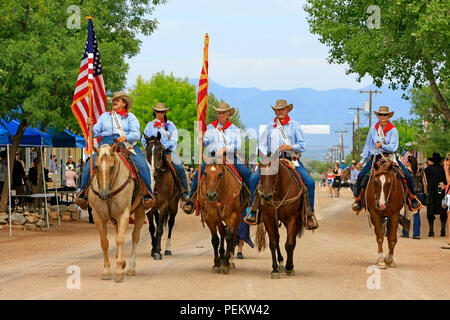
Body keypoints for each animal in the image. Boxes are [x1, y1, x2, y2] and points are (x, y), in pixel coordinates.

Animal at [89, 144, 148, 282]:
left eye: (112, 167)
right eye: (96, 167)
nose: (103, 194)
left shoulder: (124, 214)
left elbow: (120, 240)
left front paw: (118, 272)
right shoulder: (97, 216)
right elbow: (104, 242)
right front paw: (106, 271)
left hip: (140, 211)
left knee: (135, 237)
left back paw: (130, 267)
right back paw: (122, 262)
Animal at [144, 132, 179, 260]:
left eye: (160, 150)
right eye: (148, 150)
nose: (153, 169)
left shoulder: (164, 206)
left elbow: (159, 229)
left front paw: (157, 252)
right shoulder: (149, 207)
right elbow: (152, 228)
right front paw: (154, 249)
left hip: (173, 205)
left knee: (170, 223)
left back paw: (167, 248)